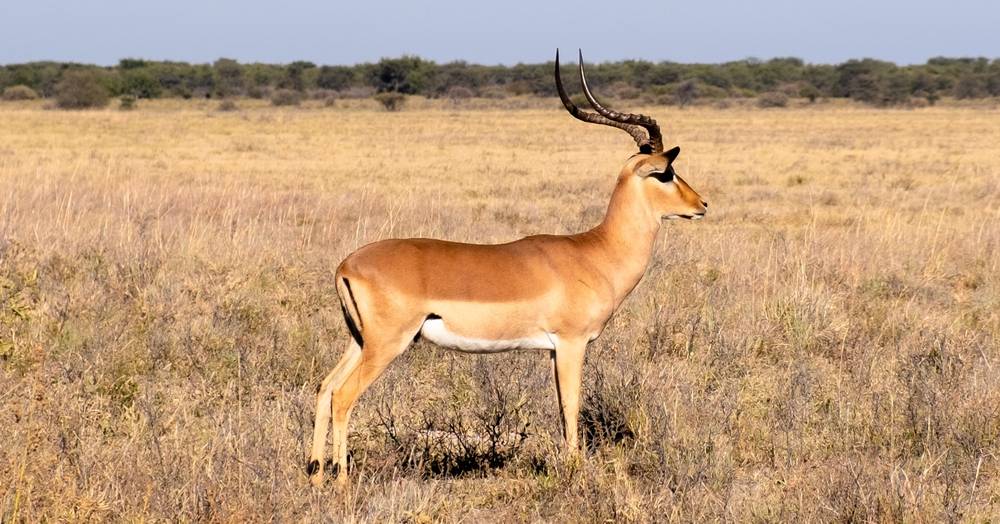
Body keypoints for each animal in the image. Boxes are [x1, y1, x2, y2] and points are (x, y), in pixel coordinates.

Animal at [308, 50, 708, 486]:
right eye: (665, 172)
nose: (701, 204)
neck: (596, 252)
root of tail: (346, 265)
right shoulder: (572, 343)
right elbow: (571, 405)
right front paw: (576, 470)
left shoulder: (553, 350)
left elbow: (559, 406)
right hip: (386, 344)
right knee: (343, 396)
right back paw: (341, 479)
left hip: (359, 340)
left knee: (324, 388)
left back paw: (315, 474)